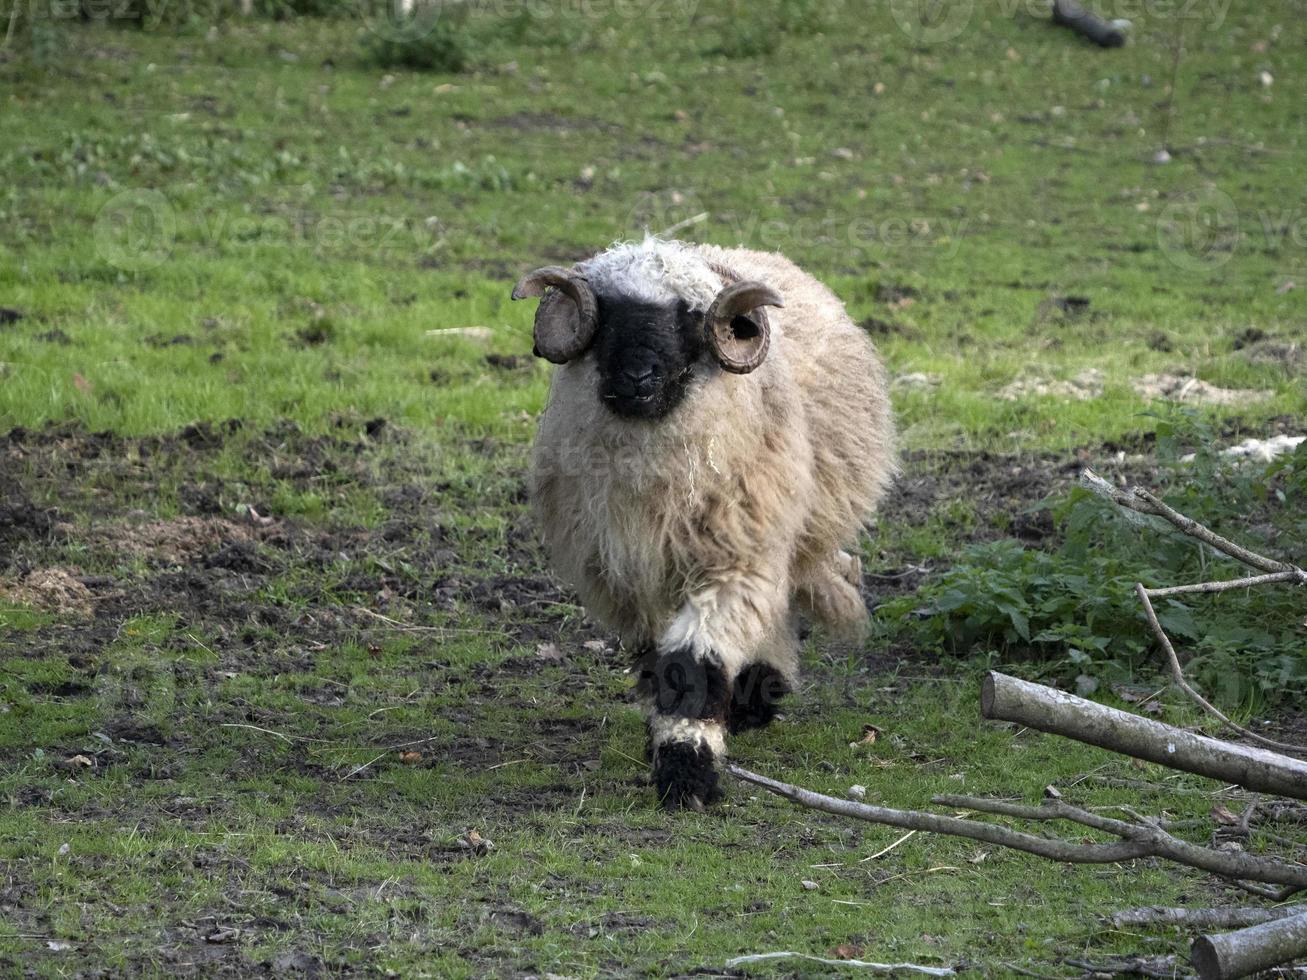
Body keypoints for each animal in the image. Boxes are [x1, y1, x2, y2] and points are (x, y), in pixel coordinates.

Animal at [512, 240, 899, 815]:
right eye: (606, 320)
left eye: (690, 323)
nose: (638, 377)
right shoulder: (633, 578)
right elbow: (659, 664)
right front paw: (667, 747)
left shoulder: (735, 560)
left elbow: (694, 662)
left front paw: (687, 776)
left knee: (778, 604)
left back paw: (758, 692)